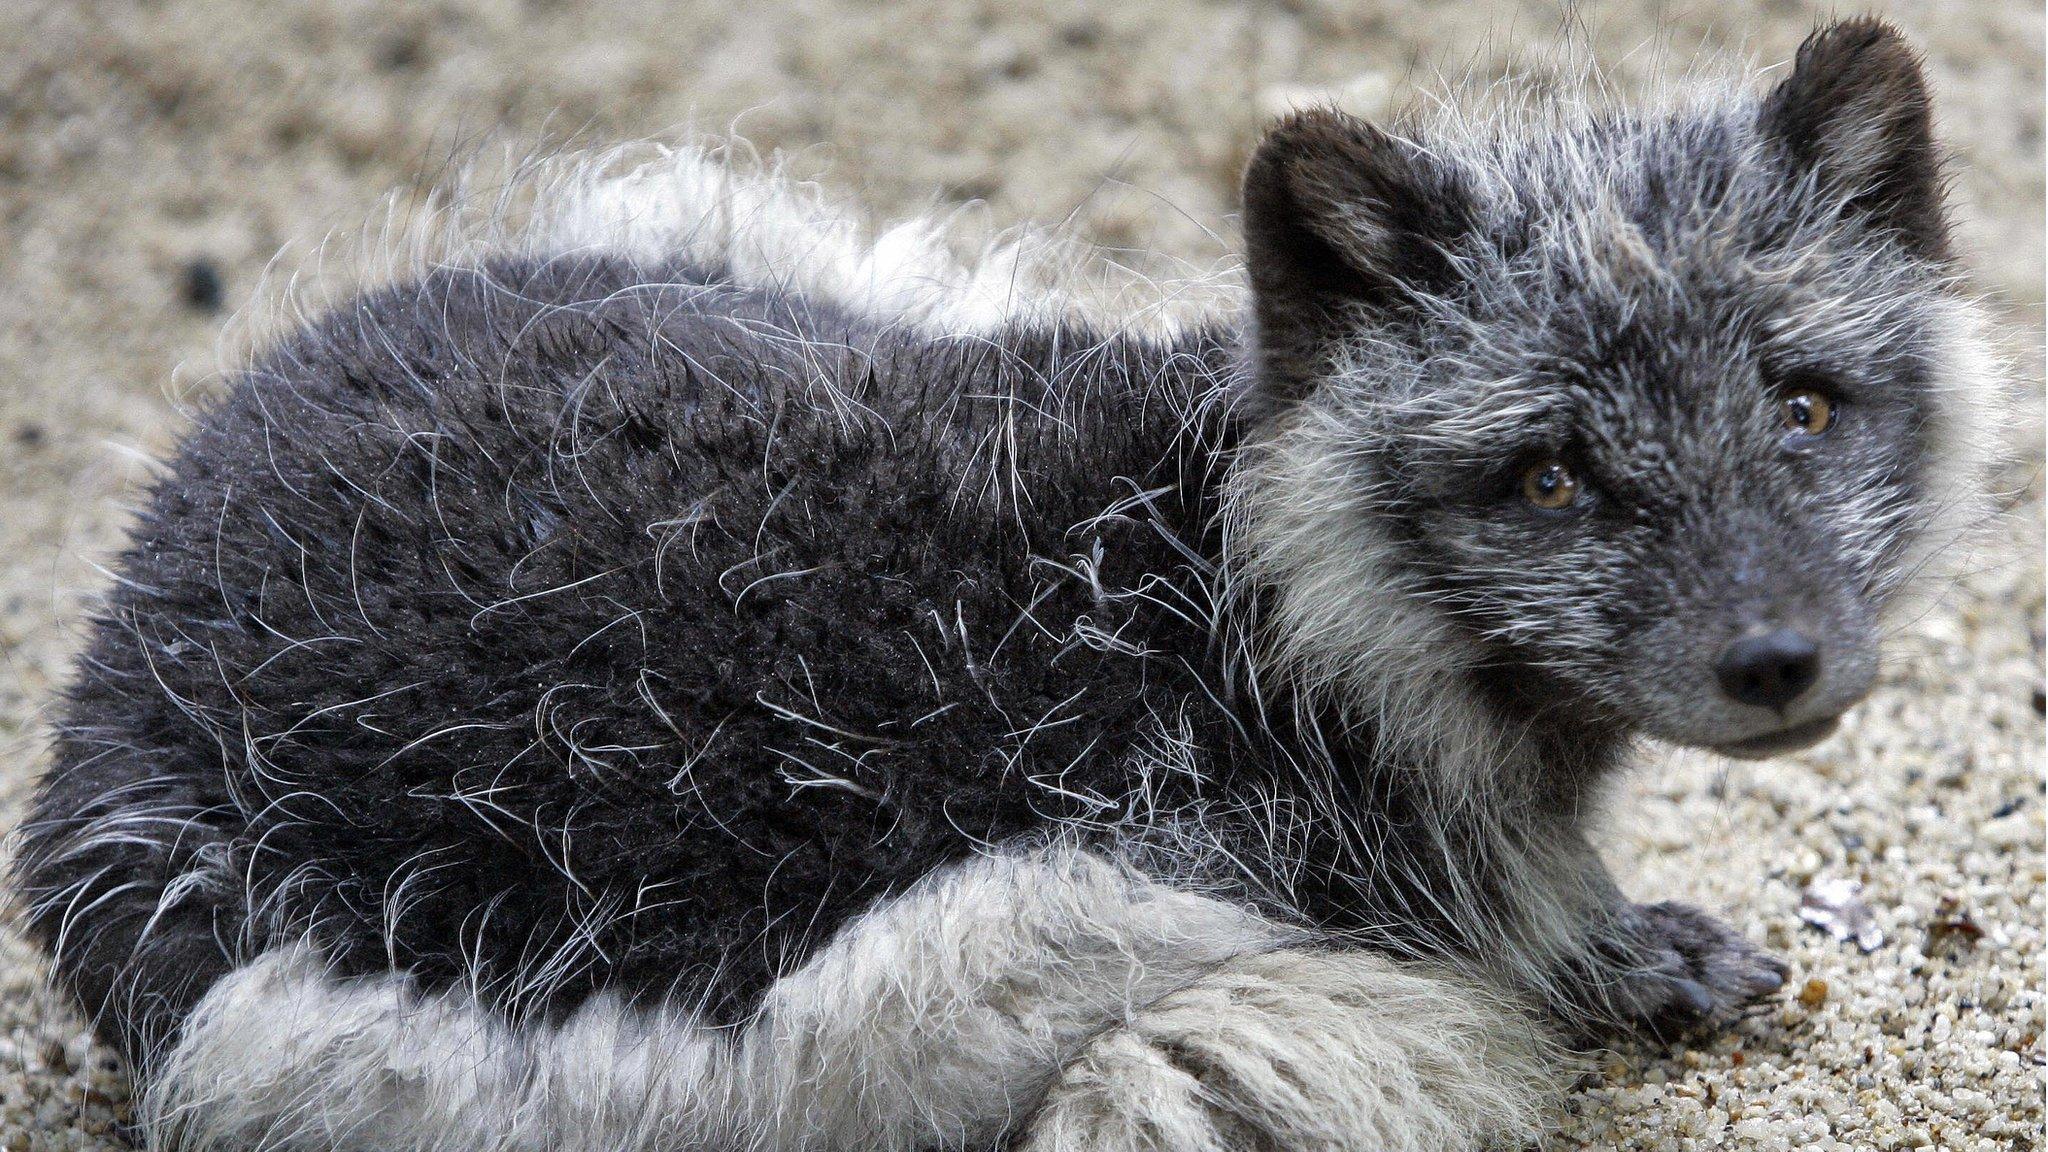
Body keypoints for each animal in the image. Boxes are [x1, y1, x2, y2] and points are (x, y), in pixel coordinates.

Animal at [16, 17, 1998, 1147]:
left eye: (1806, 405)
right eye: (1551, 474)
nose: (1776, 658)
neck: (1229, 599)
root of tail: (117, 647)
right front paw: (1603, 952)